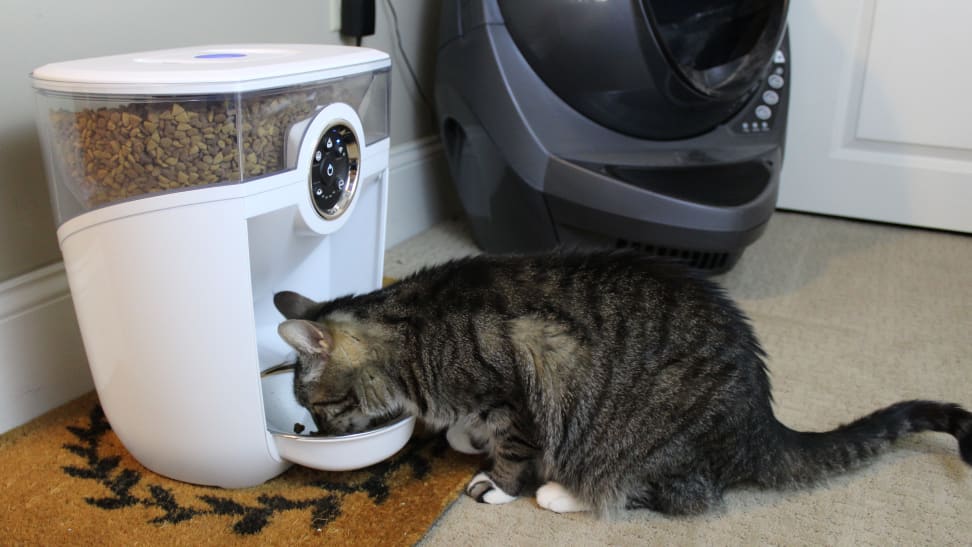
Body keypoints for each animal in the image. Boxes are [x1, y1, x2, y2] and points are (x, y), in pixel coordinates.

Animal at [272, 250, 972, 516]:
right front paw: (463, 437)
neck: (414, 333)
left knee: (675, 495)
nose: (316, 432)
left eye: (319, 408)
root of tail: (763, 423)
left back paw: (563, 493)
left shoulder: (523, 379)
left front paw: (497, 481)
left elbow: (512, 449)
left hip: (641, 444)